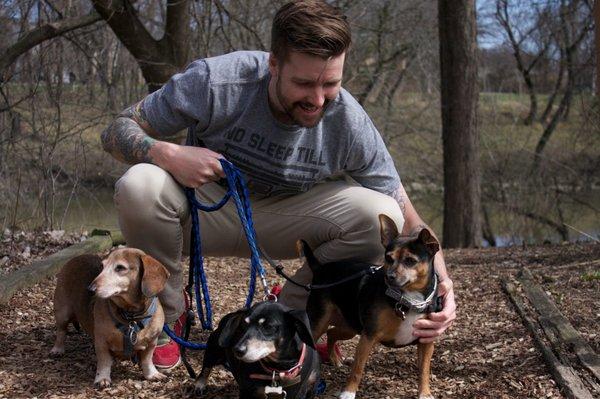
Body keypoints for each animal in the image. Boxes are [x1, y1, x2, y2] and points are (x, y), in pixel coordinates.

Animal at [304, 216, 440, 399]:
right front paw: (348, 392)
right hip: (319, 322)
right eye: (388, 258)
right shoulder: (368, 337)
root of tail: (321, 268)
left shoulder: (426, 341)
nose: (389, 276)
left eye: (410, 261)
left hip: (350, 326)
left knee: (331, 333)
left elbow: (424, 370)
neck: (407, 300)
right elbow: (357, 368)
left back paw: (335, 360)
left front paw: (425, 393)